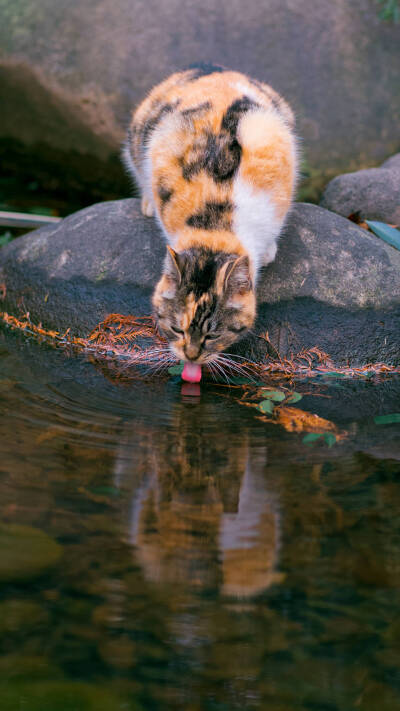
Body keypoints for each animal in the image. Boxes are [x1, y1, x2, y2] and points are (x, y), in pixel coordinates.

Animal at [123, 65, 298, 378]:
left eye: (214, 335)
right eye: (176, 329)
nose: (191, 356)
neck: (215, 224)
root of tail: (216, 69)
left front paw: (267, 252)